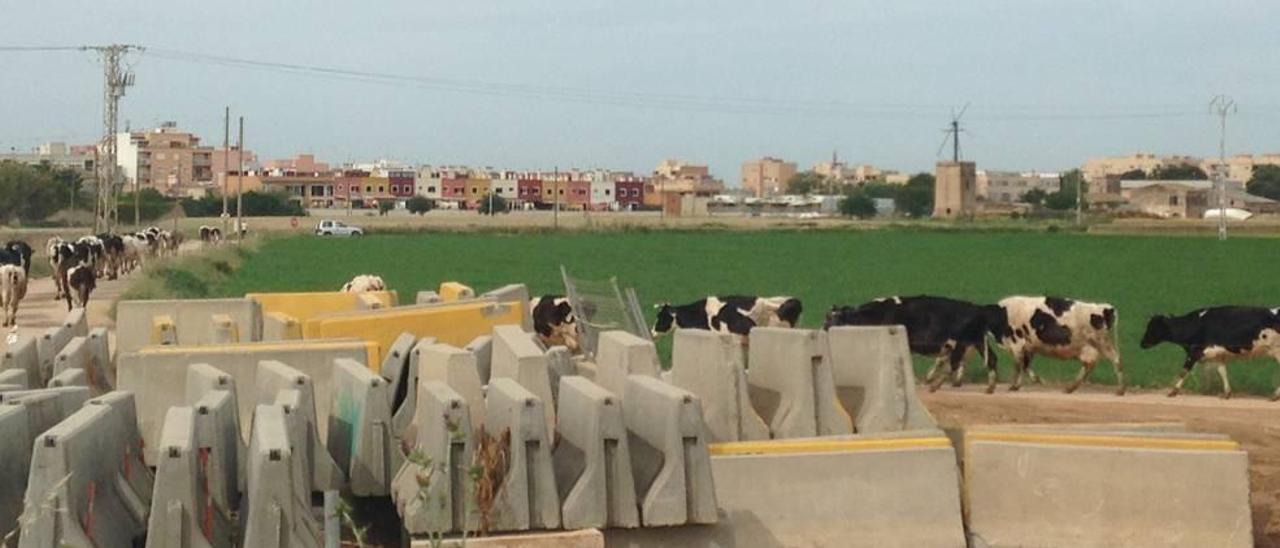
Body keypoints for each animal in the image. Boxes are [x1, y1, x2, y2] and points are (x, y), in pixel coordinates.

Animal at [819, 297, 998, 391]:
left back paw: (935, 384)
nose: (822, 330)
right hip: (976, 342)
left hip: (960, 344)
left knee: (954, 364)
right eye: (826, 317)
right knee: (991, 359)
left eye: (832, 319)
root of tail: (976, 308)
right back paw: (988, 387)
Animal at [983, 297, 1126, 396]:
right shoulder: (1029, 347)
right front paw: (1032, 381)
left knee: (1115, 359)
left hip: (1101, 342)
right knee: (1089, 365)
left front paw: (1014, 386)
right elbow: (1025, 365)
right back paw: (1070, 388)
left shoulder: (1017, 343)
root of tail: (1106, 307)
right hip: (1089, 346)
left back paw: (1120, 390)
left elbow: (1018, 365)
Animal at [1141, 306, 1280, 399]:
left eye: (1152, 327)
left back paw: (1275, 395)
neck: (1195, 325)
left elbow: (1184, 371)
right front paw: (1227, 393)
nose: (1142, 344)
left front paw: (1173, 391)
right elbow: (1222, 372)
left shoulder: (1194, 352)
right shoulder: (1218, 354)